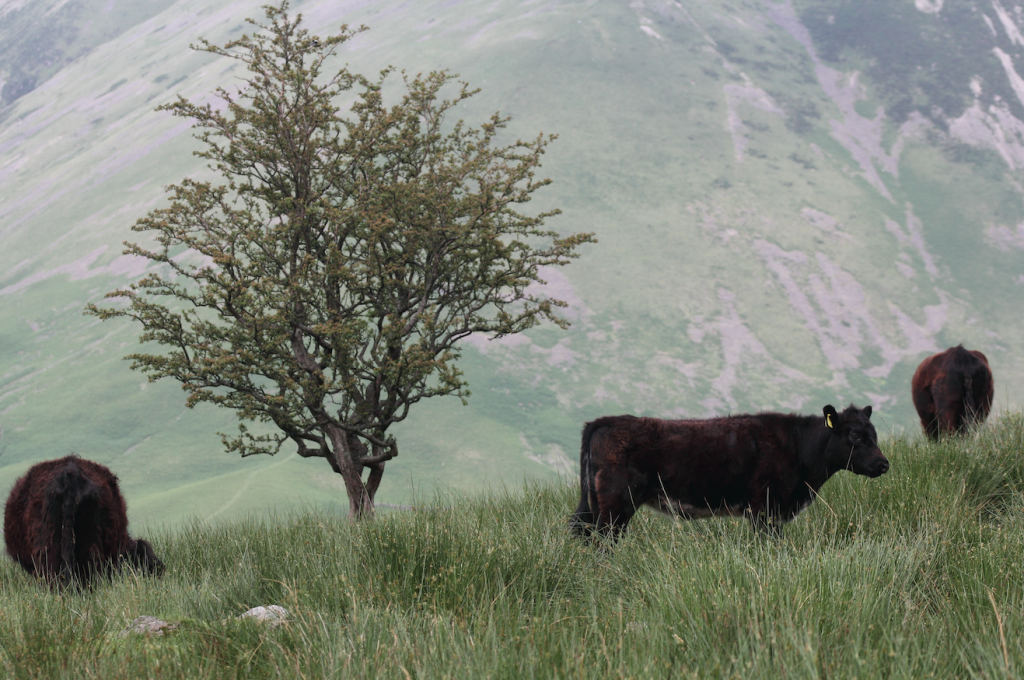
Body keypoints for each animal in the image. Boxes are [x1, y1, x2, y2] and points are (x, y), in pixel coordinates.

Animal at [573, 405, 892, 540]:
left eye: (874, 433)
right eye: (854, 436)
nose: (884, 464)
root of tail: (603, 421)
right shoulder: (765, 509)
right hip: (615, 505)